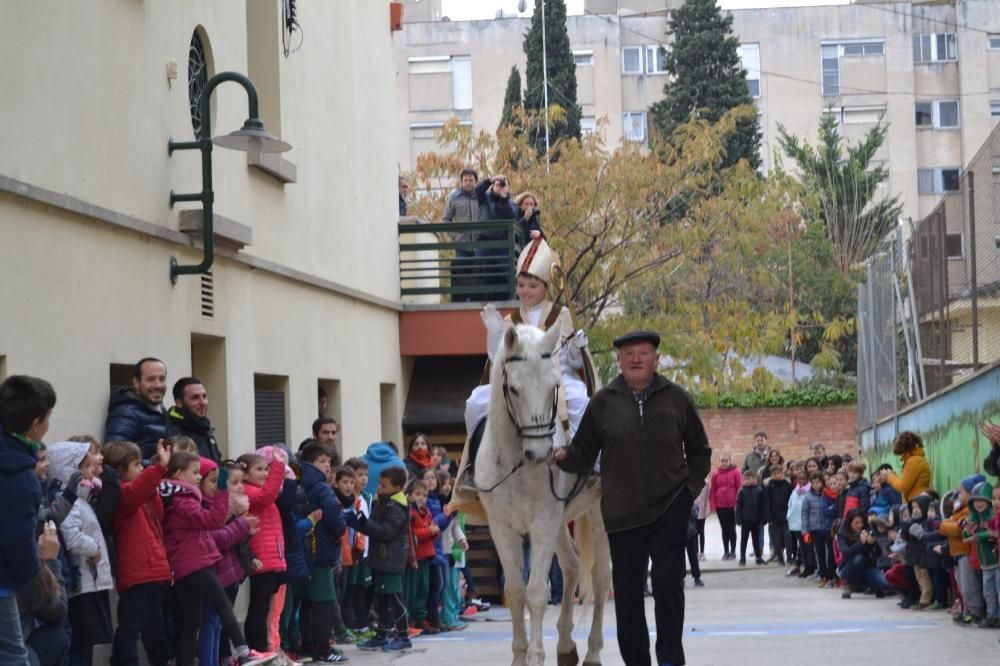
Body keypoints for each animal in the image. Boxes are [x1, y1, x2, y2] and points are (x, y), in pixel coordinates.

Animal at [474, 322, 612, 664]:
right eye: (513, 389)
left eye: (554, 386)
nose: (540, 453)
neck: (515, 464)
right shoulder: (502, 527)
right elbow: (515, 591)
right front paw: (519, 656)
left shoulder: (542, 523)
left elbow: (537, 592)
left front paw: (536, 655)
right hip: (560, 523)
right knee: (573, 564)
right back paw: (565, 645)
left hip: (596, 514)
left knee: (600, 576)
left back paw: (592, 651)